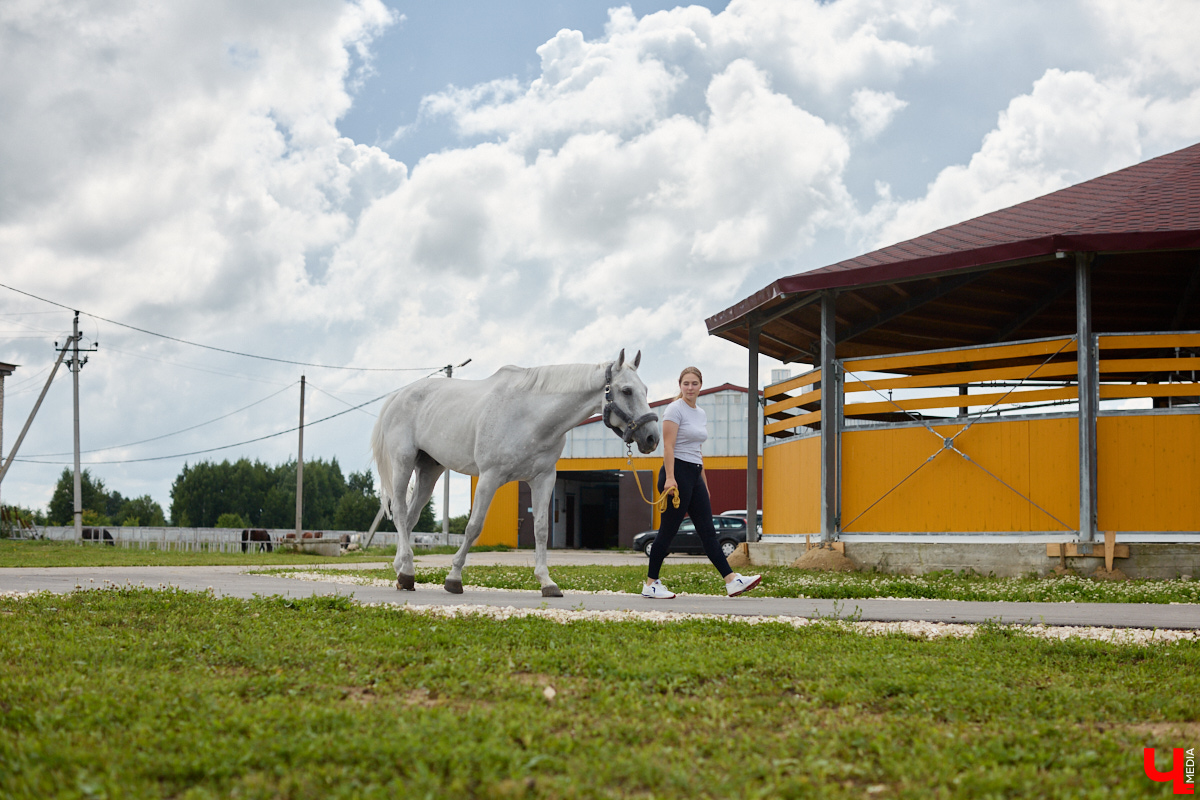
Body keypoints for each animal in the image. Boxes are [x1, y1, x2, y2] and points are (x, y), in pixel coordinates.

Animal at [371, 349, 660, 597]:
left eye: (646, 390)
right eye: (626, 390)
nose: (652, 438)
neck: (530, 416)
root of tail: (398, 396)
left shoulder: (544, 479)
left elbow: (542, 529)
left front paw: (547, 582)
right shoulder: (489, 477)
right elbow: (474, 527)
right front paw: (454, 578)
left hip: (429, 469)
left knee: (409, 519)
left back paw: (402, 571)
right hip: (403, 462)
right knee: (399, 512)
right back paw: (407, 571)